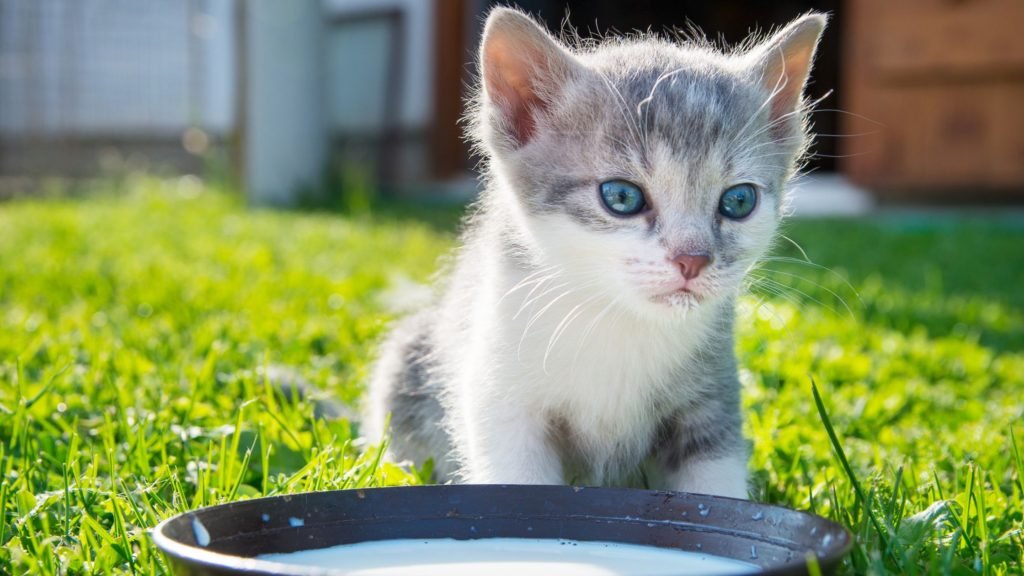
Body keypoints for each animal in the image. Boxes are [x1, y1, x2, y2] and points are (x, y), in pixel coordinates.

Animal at [364, 6, 827, 496]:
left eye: (738, 201)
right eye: (621, 197)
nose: (693, 260)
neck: (616, 318)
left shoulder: (712, 397)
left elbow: (716, 484)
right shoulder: (502, 393)